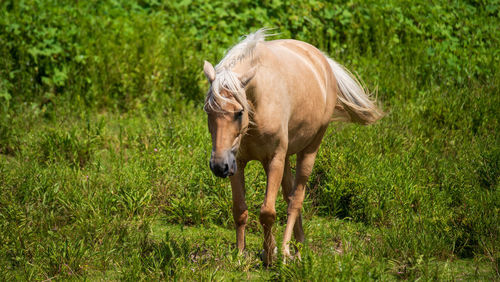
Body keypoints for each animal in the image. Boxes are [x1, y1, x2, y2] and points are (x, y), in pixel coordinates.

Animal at [201, 28, 380, 264]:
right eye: (208, 110)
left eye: (239, 112)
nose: (218, 166)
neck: (259, 104)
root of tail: (322, 60)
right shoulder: (237, 161)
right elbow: (240, 209)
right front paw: (240, 255)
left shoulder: (274, 158)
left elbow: (267, 212)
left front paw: (269, 255)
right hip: (283, 159)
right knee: (289, 196)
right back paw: (294, 246)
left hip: (309, 150)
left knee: (296, 199)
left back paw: (290, 251)